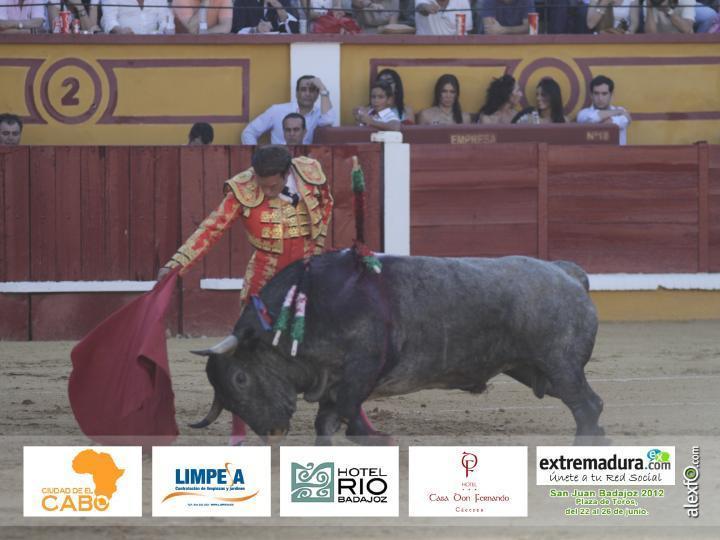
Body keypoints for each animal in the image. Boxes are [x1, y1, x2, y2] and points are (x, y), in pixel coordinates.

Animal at [191, 251, 600, 440]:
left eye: (241, 378)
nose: (273, 432)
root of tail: (567, 273)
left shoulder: (358, 374)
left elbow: (348, 419)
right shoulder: (334, 384)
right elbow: (328, 423)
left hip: (562, 366)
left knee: (586, 406)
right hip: (535, 369)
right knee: (590, 405)